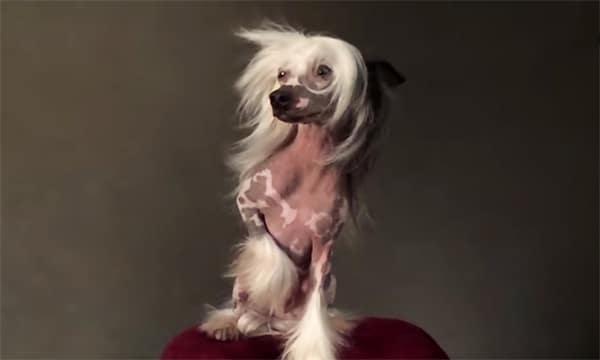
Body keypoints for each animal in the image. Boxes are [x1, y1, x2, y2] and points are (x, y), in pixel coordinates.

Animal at [200, 23, 404, 360]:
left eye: (323, 71)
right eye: (282, 74)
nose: (278, 98)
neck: (307, 169)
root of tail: (277, 322)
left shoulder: (324, 247)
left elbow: (314, 303)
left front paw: (312, 347)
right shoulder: (248, 204)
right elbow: (268, 249)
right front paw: (276, 283)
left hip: (332, 283)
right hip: (242, 283)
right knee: (241, 307)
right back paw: (230, 325)